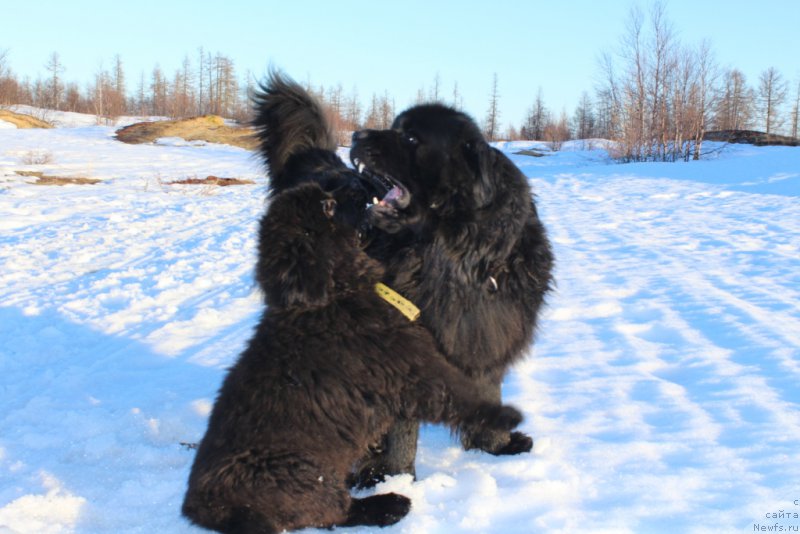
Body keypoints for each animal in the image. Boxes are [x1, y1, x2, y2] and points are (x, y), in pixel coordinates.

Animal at [180, 74, 524, 534]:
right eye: (327, 205)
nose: (354, 179)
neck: (337, 294)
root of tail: (204, 509)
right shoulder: (411, 366)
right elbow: (457, 395)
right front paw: (508, 418)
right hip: (306, 476)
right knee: (334, 513)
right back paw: (390, 504)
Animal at [354, 100, 552, 486]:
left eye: (411, 137)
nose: (355, 135)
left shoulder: (487, 334)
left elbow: (490, 391)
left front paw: (496, 445)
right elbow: (401, 432)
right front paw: (398, 479)